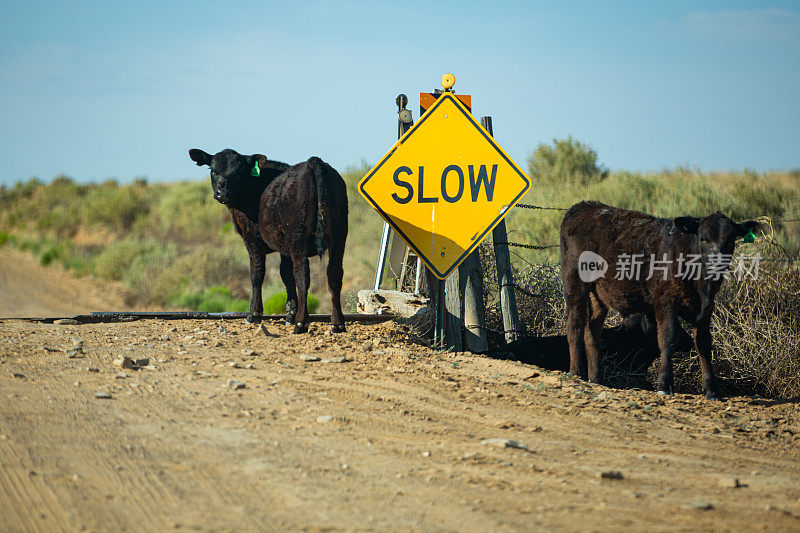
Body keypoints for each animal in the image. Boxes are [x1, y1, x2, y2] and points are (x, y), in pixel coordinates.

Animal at [191, 149, 350, 332]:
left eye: (239, 172)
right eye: (212, 170)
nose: (222, 193)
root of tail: (313, 162)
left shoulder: (252, 239)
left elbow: (257, 274)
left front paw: (254, 315)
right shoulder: (284, 249)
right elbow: (286, 275)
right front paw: (289, 315)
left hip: (298, 237)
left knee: (302, 274)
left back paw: (301, 323)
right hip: (339, 235)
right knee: (334, 274)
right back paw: (337, 323)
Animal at [556, 201, 756, 400]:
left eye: (730, 241)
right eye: (703, 238)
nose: (717, 262)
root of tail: (583, 206)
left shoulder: (706, 308)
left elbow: (704, 343)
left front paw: (712, 389)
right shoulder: (664, 302)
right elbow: (667, 338)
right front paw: (664, 384)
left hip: (598, 294)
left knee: (593, 329)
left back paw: (596, 378)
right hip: (575, 282)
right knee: (575, 323)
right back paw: (576, 373)